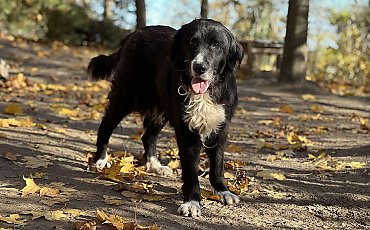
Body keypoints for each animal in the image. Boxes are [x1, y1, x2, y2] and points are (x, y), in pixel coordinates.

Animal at [86, 18, 243, 217]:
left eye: (216, 45)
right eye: (192, 42)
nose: (199, 67)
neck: (206, 92)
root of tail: (134, 33)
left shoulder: (220, 129)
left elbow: (217, 164)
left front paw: (223, 191)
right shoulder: (186, 133)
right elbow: (191, 171)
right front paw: (192, 202)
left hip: (159, 110)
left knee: (148, 136)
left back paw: (155, 165)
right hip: (124, 97)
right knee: (105, 126)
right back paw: (100, 160)